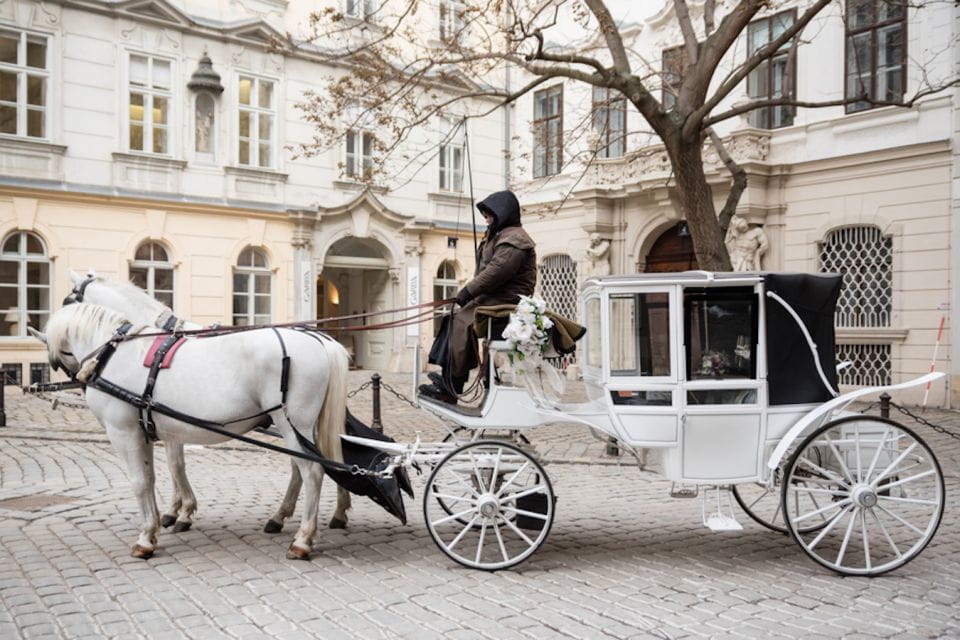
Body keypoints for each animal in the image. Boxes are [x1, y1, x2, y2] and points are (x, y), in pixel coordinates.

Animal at [32, 302, 349, 560]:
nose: (79, 377)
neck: (113, 353)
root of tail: (319, 341)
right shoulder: (148, 432)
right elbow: (153, 477)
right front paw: (161, 523)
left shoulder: (124, 432)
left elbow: (141, 481)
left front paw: (147, 537)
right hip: (300, 429)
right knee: (311, 466)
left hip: (291, 424)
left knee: (312, 472)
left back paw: (303, 539)